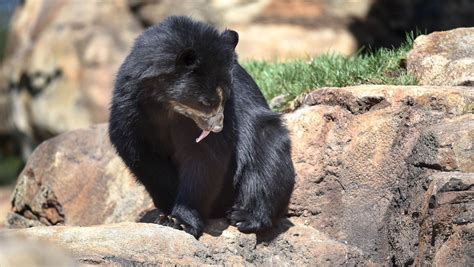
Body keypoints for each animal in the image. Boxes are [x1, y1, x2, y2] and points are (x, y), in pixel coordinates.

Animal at [109, 16, 294, 239]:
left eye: (226, 97)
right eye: (206, 101)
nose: (218, 127)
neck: (166, 107)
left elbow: (204, 159)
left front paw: (181, 221)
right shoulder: (130, 111)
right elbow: (144, 159)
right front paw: (166, 215)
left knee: (267, 157)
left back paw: (246, 216)